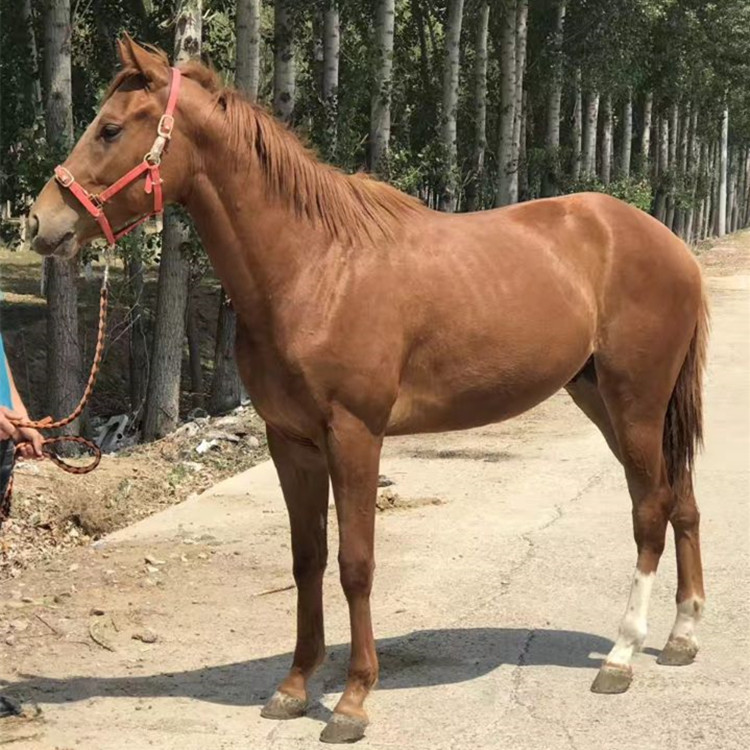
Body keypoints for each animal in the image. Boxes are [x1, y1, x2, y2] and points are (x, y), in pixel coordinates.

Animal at [27, 37, 708, 744]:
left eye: (110, 128)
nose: (36, 221)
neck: (314, 267)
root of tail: (667, 243)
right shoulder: (290, 442)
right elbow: (307, 560)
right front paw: (295, 687)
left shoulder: (355, 436)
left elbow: (356, 564)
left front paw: (352, 700)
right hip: (607, 401)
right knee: (679, 500)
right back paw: (682, 635)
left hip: (636, 402)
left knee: (650, 512)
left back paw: (623, 656)